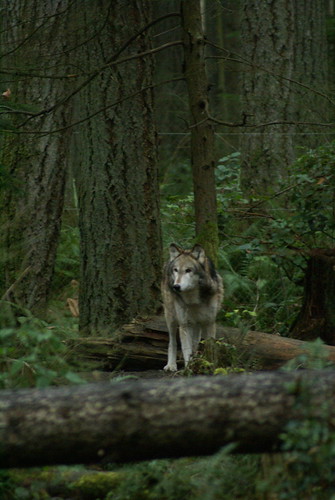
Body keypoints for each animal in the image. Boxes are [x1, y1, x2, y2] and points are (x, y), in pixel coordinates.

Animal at [161, 242, 224, 372]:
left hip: (197, 324)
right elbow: (186, 349)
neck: (193, 299)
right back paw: (171, 365)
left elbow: (210, 347)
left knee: (195, 343)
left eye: (188, 270)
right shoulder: (185, 324)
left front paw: (211, 366)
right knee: (172, 341)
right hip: (171, 317)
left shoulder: (210, 322)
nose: (176, 286)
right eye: (176, 270)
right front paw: (189, 369)